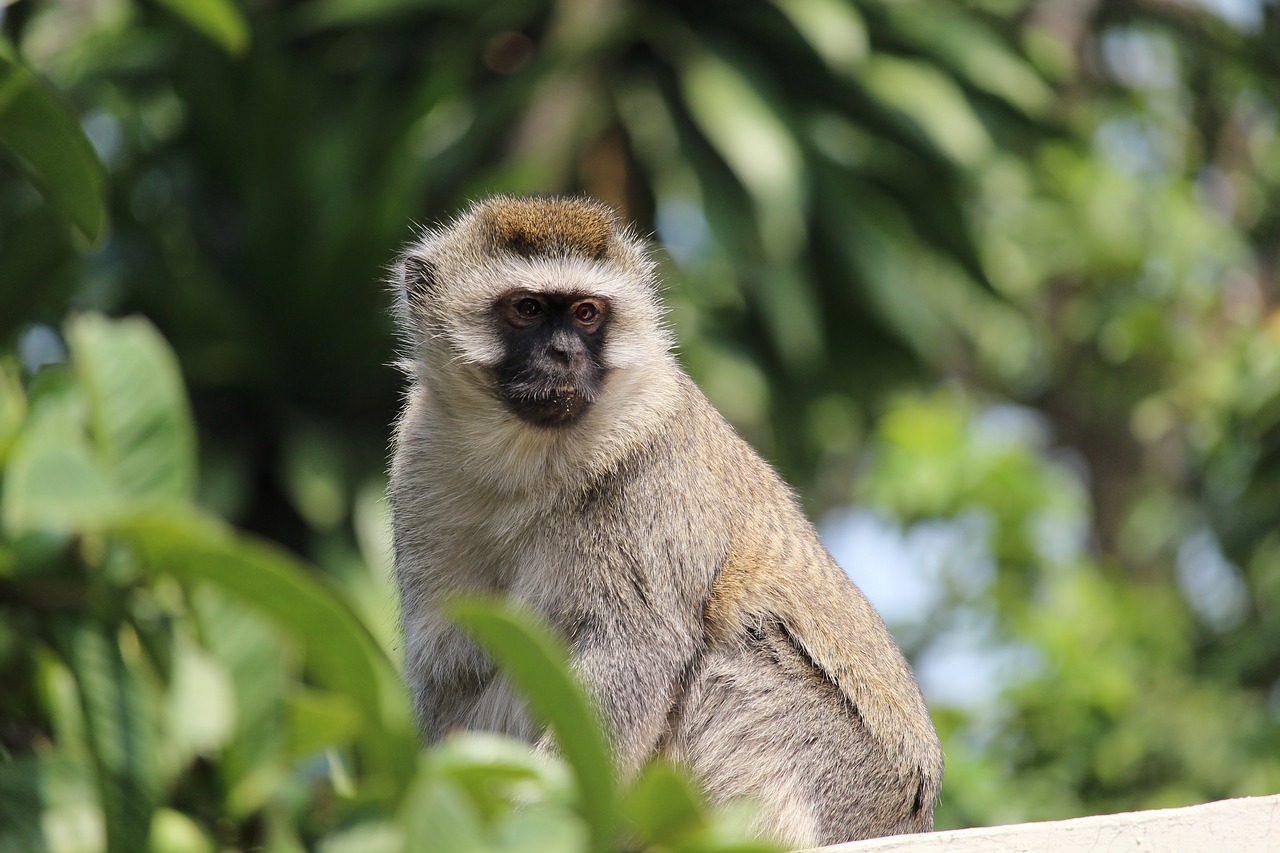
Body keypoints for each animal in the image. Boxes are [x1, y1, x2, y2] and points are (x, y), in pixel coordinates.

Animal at [386, 194, 942, 845]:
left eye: (587, 314)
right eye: (526, 309)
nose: (564, 354)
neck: (525, 459)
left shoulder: (649, 466)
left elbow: (633, 651)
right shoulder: (419, 464)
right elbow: (450, 657)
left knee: (733, 651)